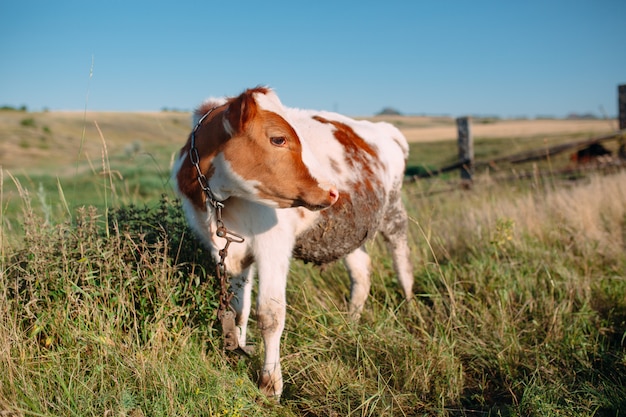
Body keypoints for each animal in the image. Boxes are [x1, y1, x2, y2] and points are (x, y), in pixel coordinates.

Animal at [172, 86, 414, 398]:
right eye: (278, 138)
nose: (333, 191)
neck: (218, 202)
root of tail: (383, 129)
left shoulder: (273, 244)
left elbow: (270, 314)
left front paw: (270, 383)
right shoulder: (228, 249)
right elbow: (239, 310)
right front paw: (238, 351)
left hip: (394, 212)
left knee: (402, 263)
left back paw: (410, 308)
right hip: (348, 231)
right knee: (362, 271)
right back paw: (351, 321)